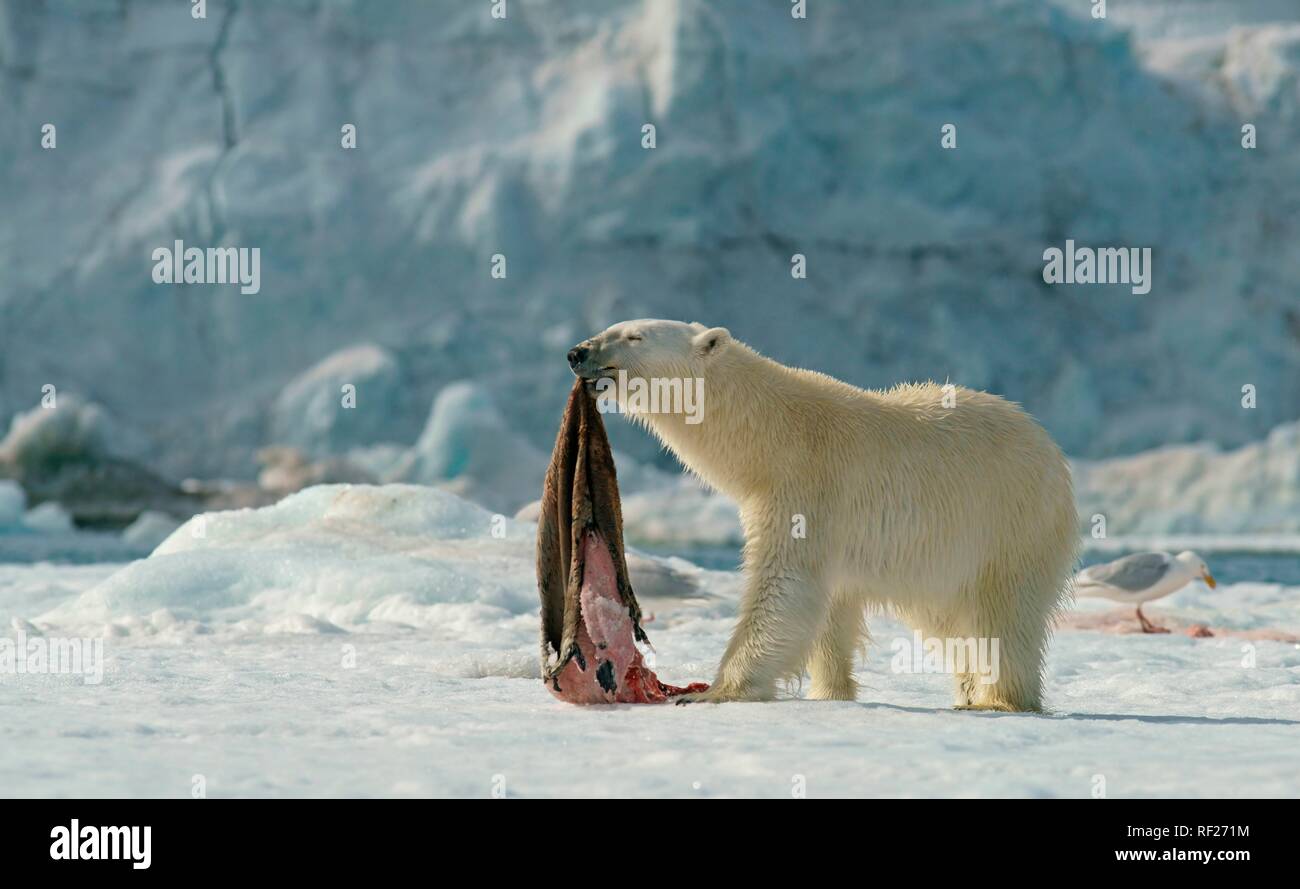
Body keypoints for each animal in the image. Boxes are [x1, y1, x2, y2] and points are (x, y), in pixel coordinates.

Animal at [569, 317, 1076, 707]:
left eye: (634, 336)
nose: (577, 352)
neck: (770, 437)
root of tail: (1052, 451)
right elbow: (830, 610)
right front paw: (830, 693)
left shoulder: (805, 489)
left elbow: (784, 586)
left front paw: (713, 691)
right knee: (949, 619)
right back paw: (969, 693)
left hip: (1007, 522)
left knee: (1002, 615)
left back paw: (1000, 700)